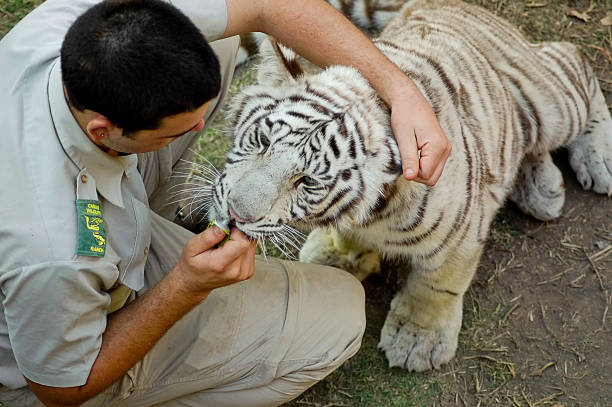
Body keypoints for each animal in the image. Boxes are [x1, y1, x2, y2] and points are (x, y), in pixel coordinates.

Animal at [206, 0, 612, 372]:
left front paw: (418, 338)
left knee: (572, 59)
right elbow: (347, 236)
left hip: (550, 103)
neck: (372, 214)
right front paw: (338, 255)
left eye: (306, 181)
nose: (236, 213)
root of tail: (438, 2)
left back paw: (596, 162)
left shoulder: (460, 234)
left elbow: (437, 285)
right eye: (262, 142)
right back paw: (541, 185)